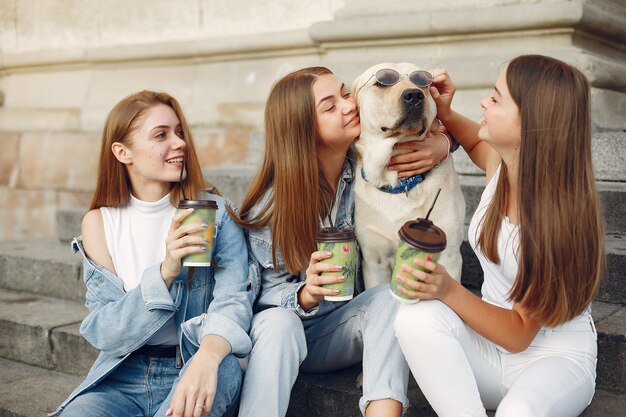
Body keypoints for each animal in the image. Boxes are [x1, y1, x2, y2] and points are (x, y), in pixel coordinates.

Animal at [352, 61, 464, 290]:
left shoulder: (450, 257)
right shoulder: (375, 261)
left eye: (422, 82)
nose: (414, 95)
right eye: (381, 82)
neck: (399, 181)